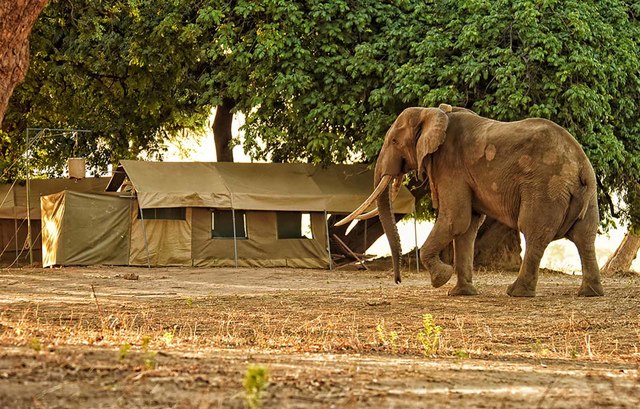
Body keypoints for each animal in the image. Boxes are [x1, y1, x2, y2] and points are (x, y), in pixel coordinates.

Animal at [337, 104, 604, 297]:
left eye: (394, 141)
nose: (398, 280)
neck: (433, 112)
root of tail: (580, 166)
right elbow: (467, 226)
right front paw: (461, 293)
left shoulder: (450, 164)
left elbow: (455, 219)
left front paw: (441, 279)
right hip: (587, 193)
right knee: (585, 235)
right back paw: (589, 293)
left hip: (545, 188)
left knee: (534, 232)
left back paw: (516, 293)